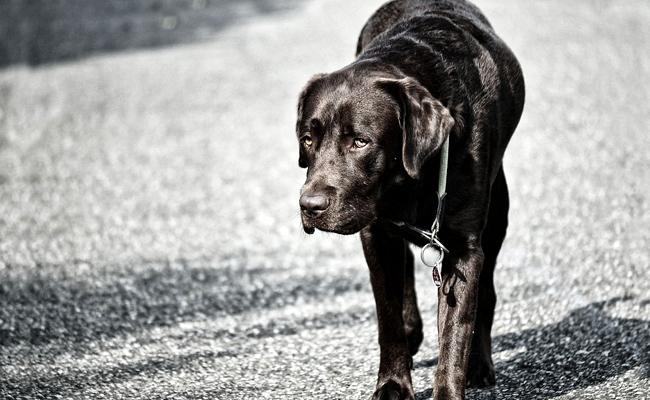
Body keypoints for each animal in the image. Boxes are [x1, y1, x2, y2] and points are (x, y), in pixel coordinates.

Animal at [294, 1, 520, 398]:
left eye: (360, 141)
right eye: (308, 139)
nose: (310, 206)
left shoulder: (463, 250)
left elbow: (455, 332)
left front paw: (448, 390)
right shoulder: (376, 235)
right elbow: (390, 317)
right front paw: (393, 384)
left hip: (497, 214)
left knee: (486, 293)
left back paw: (480, 364)